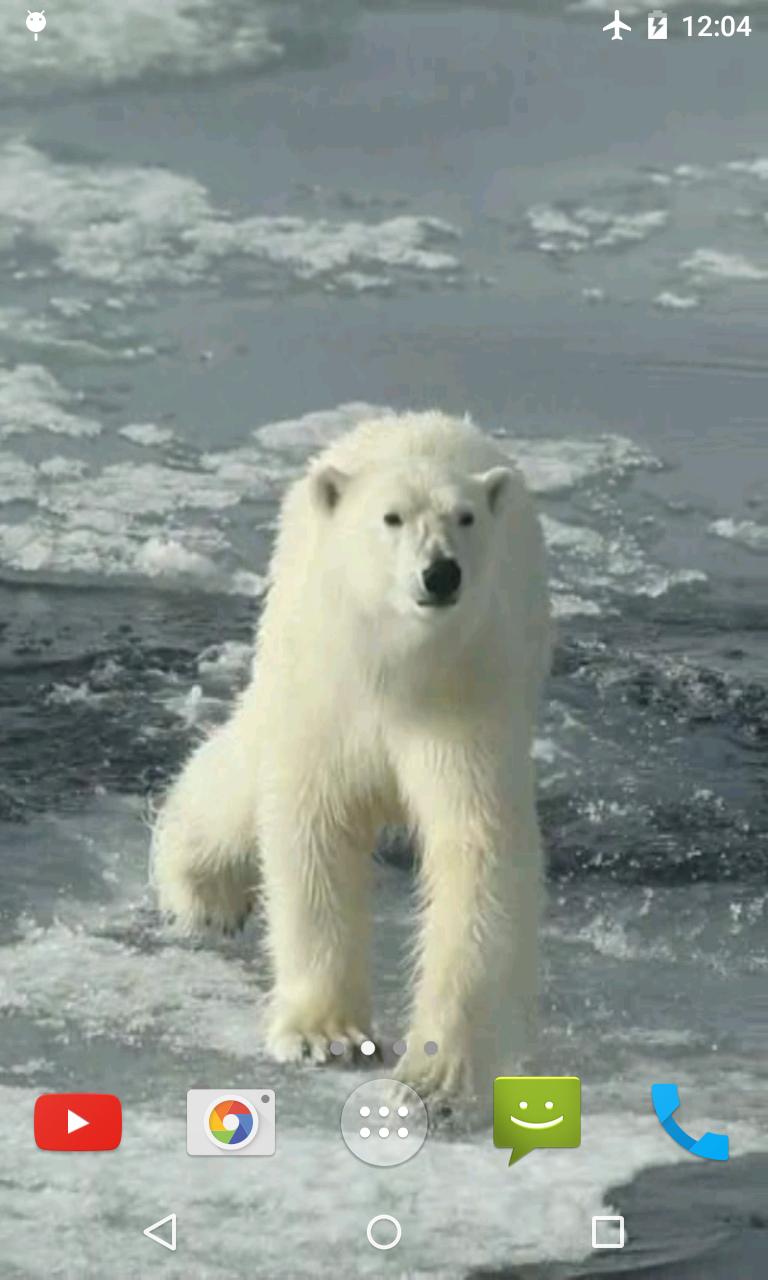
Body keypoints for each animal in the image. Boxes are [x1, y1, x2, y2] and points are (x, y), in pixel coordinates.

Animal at [151, 410, 552, 1100]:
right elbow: (315, 828)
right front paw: (326, 1035)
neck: (397, 671)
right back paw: (200, 890)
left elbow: (476, 846)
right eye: (392, 517)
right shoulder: (330, 696)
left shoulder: (470, 698)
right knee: (242, 764)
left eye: (466, 516)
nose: (440, 573)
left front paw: (438, 1076)